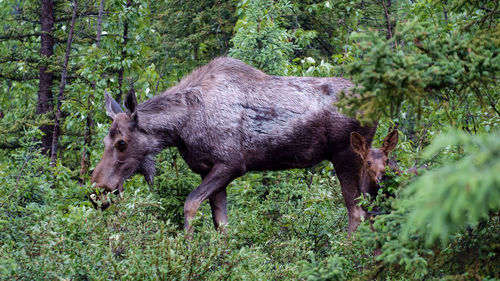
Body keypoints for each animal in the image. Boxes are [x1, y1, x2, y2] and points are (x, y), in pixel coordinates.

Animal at [91, 55, 378, 233]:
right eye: (105, 139)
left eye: (122, 143)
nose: (97, 190)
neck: (182, 126)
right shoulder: (208, 169)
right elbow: (222, 224)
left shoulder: (231, 165)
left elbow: (190, 204)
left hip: (345, 156)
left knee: (356, 212)